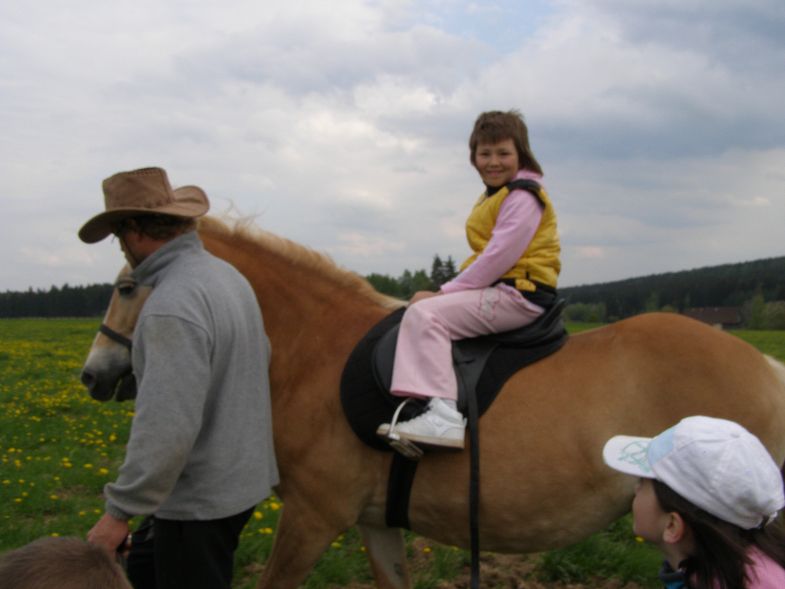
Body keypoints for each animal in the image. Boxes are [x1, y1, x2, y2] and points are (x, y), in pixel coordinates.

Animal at [81, 216, 785, 589]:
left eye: (126, 286)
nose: (93, 375)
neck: (313, 348)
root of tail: (766, 369)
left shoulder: (311, 518)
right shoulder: (373, 521)